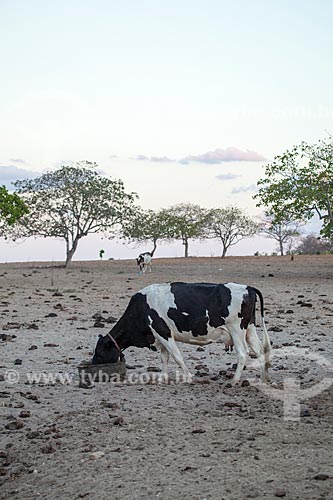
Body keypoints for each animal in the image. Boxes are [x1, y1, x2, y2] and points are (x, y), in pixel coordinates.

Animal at [92, 284, 272, 384]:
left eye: (99, 353)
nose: (93, 364)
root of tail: (248, 288)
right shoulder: (160, 336)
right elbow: (165, 358)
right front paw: (162, 378)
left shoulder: (163, 332)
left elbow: (177, 357)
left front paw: (188, 377)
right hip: (249, 328)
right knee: (260, 351)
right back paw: (264, 379)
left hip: (236, 329)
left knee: (243, 353)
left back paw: (234, 380)